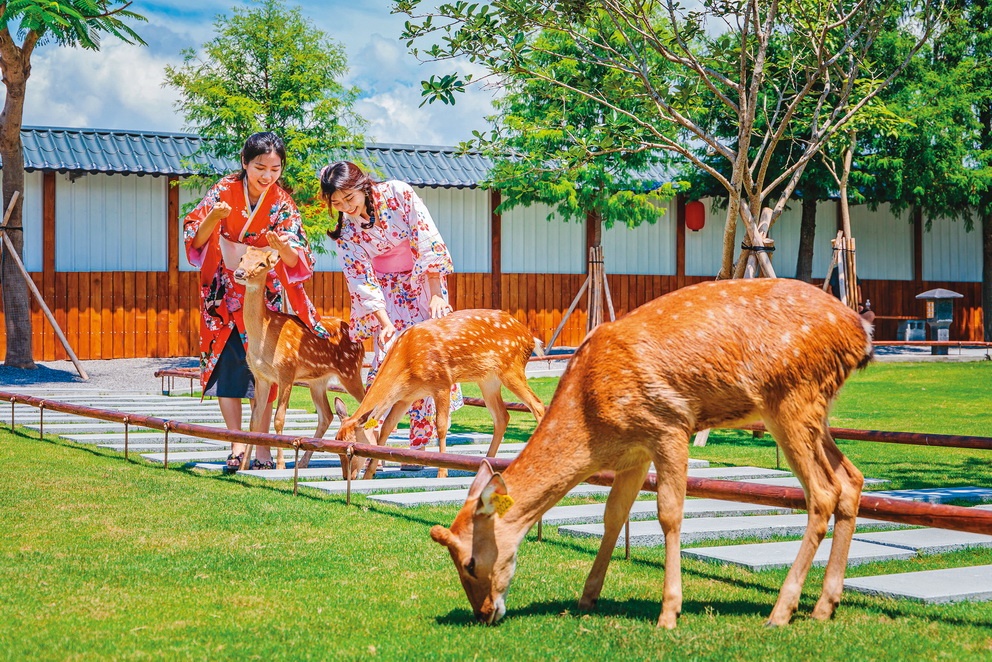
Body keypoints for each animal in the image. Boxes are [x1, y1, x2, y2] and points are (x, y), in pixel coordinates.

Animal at [233, 246, 367, 472]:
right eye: (242, 258)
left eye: (262, 264)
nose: (239, 273)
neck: (263, 338)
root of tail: (361, 343)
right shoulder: (261, 377)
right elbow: (254, 421)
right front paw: (243, 466)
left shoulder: (287, 370)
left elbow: (279, 419)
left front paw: (279, 466)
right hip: (318, 381)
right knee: (327, 415)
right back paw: (304, 462)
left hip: (350, 372)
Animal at [334, 308, 547, 480]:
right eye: (337, 446)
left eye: (353, 446)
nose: (346, 476)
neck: (408, 362)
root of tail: (530, 338)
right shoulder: (406, 396)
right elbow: (386, 427)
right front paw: (369, 474)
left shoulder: (442, 383)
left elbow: (441, 427)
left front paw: (442, 472)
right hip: (488, 379)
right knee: (502, 416)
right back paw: (485, 466)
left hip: (511, 367)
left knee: (537, 405)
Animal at [429, 278, 874, 628]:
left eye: (469, 562)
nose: (484, 612)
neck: (594, 424)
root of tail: (861, 333)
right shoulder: (635, 451)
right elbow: (613, 516)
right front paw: (587, 598)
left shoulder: (669, 426)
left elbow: (669, 514)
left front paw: (669, 612)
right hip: (816, 410)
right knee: (851, 479)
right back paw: (824, 606)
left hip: (792, 397)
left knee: (823, 492)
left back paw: (781, 611)